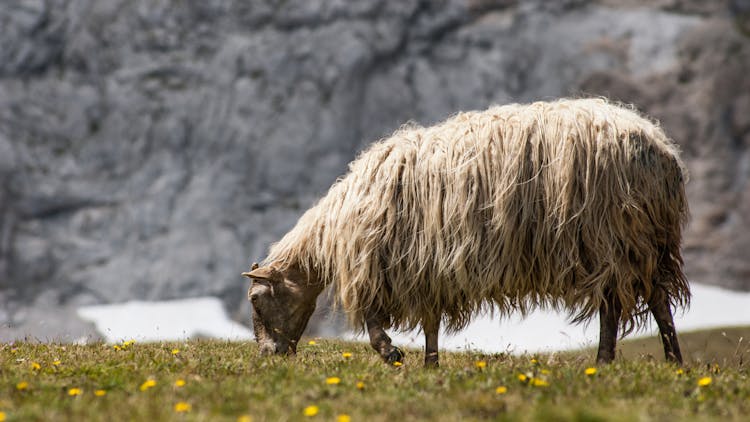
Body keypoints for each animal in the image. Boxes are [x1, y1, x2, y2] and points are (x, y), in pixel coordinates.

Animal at [244, 98, 692, 366]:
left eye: (255, 299)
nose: (269, 355)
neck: (335, 230)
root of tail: (664, 153)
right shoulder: (425, 267)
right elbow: (429, 322)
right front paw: (431, 364)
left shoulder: (384, 263)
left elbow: (373, 322)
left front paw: (392, 354)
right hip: (637, 242)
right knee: (650, 300)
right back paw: (665, 362)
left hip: (612, 235)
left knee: (621, 303)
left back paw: (614, 361)